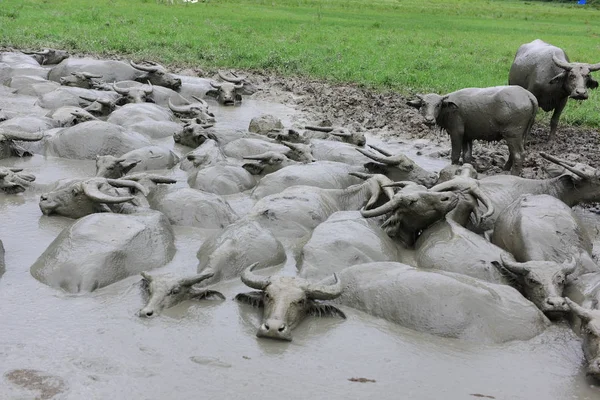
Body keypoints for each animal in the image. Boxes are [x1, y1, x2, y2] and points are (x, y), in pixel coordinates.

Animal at [408, 86, 540, 175]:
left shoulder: (456, 132)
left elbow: (455, 155)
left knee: (518, 154)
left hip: (512, 134)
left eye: (438, 105)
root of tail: (528, 95)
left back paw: (513, 174)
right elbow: (467, 156)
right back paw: (505, 169)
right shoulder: (467, 136)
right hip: (522, 134)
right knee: (514, 153)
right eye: (424, 104)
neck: (450, 109)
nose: (429, 120)